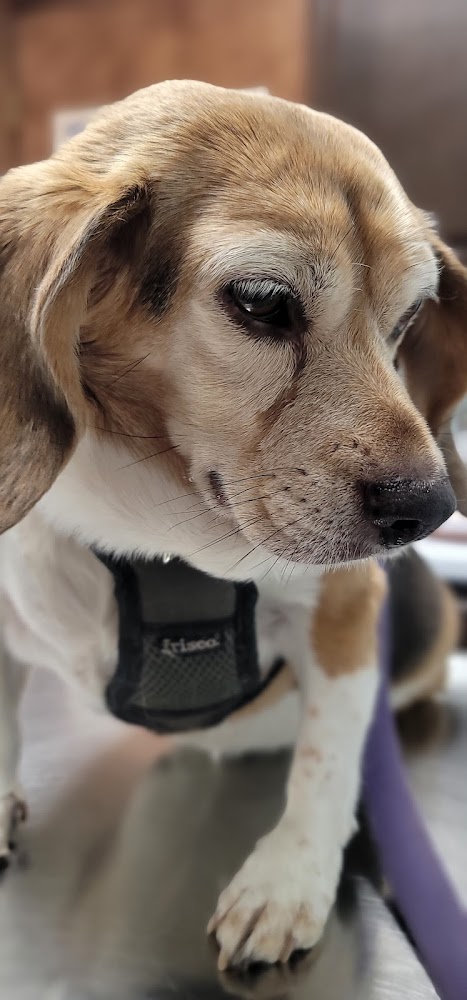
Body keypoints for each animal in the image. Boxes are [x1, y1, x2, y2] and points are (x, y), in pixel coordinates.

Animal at [0, 80, 467, 971]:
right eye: (263, 303)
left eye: (406, 322)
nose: (429, 508)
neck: (156, 542)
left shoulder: (346, 613)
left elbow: (325, 759)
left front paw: (286, 879)